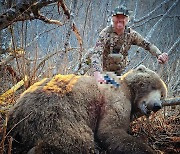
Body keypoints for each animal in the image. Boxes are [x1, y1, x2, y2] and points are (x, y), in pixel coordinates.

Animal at [7, 64, 167, 153]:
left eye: (162, 95)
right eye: (153, 86)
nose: (157, 105)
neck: (130, 91)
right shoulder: (115, 99)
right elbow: (110, 131)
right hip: (56, 112)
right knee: (75, 141)